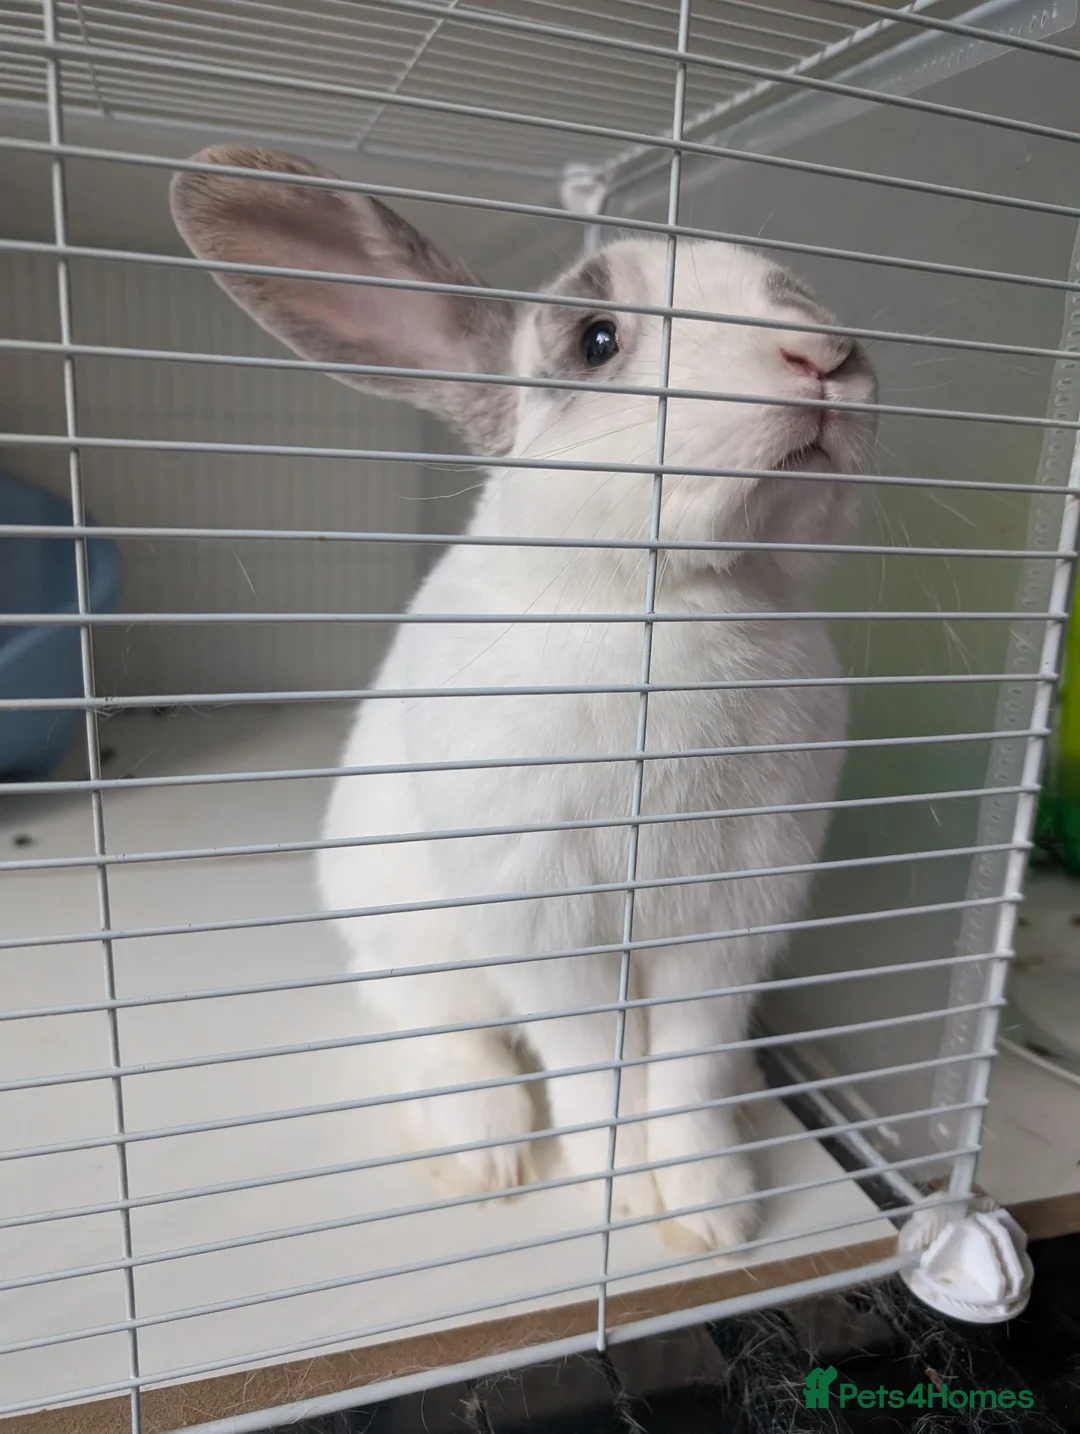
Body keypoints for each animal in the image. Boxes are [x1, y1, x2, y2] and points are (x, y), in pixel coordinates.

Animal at [171, 146, 878, 1254]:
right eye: (598, 340)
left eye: (790, 291)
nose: (827, 354)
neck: (671, 600)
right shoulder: (548, 917)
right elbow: (595, 1067)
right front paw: (624, 1198)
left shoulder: (733, 919)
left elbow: (684, 1071)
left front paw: (713, 1212)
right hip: (408, 938)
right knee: (444, 1035)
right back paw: (484, 1154)